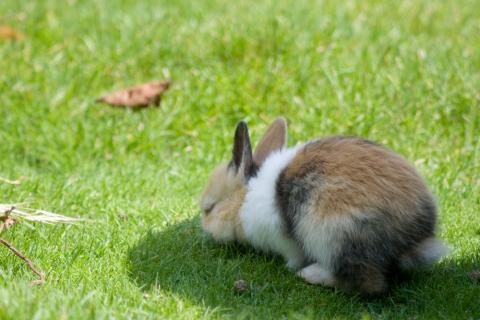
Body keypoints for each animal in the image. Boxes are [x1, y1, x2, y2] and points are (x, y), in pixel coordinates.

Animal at [200, 117, 450, 296]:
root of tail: (416, 241)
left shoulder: (285, 241)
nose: (205, 228)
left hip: (334, 235)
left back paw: (311, 274)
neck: (246, 197)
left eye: (210, 208)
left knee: (369, 284)